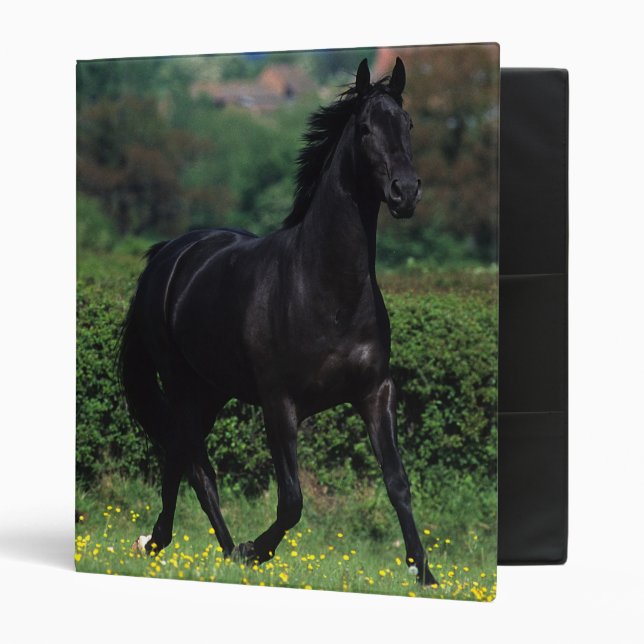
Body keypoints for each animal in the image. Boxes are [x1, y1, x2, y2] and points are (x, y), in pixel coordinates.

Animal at [119, 57, 437, 586]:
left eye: (408, 124)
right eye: (366, 128)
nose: (405, 192)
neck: (325, 290)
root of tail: (169, 254)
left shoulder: (375, 393)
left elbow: (398, 482)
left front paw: (426, 576)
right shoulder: (279, 404)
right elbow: (291, 501)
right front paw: (256, 550)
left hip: (211, 391)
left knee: (184, 461)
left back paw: (196, 548)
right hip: (182, 385)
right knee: (191, 463)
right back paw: (190, 546)